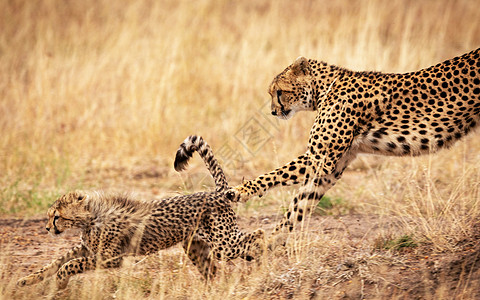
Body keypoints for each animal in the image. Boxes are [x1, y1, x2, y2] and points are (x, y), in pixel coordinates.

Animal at [17, 136, 266, 288]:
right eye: (50, 216)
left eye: (56, 216)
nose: (47, 228)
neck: (91, 217)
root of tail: (217, 192)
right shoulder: (87, 248)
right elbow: (57, 261)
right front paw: (27, 280)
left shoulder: (111, 258)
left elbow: (70, 264)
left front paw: (60, 282)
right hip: (195, 246)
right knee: (212, 268)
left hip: (224, 244)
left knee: (258, 234)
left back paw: (264, 255)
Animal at [228, 47, 480, 234]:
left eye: (279, 92)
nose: (273, 112)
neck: (324, 89)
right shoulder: (332, 167)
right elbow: (298, 206)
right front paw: (267, 245)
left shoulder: (321, 159)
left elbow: (273, 174)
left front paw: (240, 190)